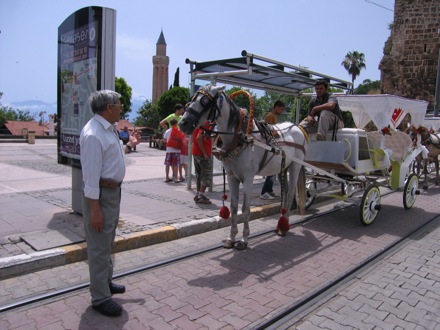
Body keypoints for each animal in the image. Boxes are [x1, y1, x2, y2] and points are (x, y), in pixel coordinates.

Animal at [179, 85, 306, 250]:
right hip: (282, 169)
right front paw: (231, 238)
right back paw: (281, 223)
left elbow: (245, 208)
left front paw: (244, 239)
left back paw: (284, 227)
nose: (183, 123)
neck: (241, 137)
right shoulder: (232, 177)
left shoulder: (248, 179)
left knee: (290, 195)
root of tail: (297, 128)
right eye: (192, 98)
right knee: (286, 195)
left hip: (295, 166)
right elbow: (234, 207)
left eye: (205, 101)